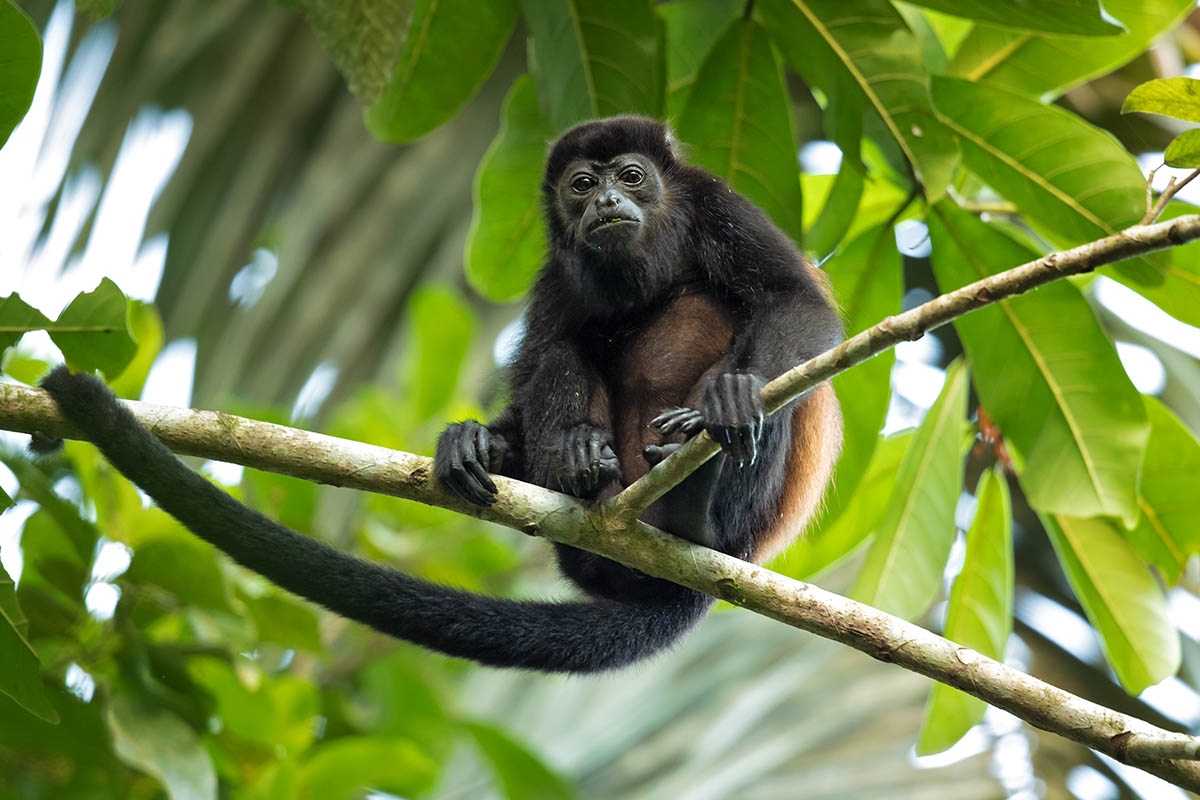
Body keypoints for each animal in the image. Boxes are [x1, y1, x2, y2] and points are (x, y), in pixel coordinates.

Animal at [37, 116, 842, 674]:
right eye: (583, 185)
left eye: (633, 175)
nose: (609, 197)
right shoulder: (556, 267)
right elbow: (545, 353)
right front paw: (496, 441)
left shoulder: (716, 203)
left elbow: (796, 302)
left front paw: (734, 394)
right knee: (567, 352)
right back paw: (569, 462)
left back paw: (696, 500)